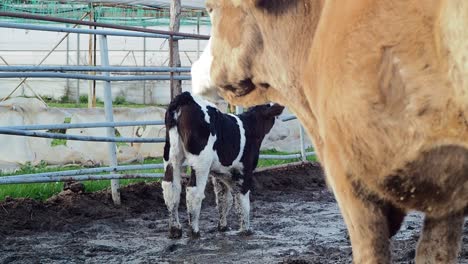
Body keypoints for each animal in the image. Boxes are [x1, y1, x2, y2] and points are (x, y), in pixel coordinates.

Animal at [163, 92, 284, 238]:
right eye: (277, 116)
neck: (250, 127)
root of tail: (186, 97)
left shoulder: (221, 173)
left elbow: (225, 200)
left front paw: (223, 227)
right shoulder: (245, 171)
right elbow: (243, 200)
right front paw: (246, 229)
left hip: (171, 157)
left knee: (171, 188)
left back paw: (175, 230)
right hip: (201, 163)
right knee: (194, 192)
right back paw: (194, 231)